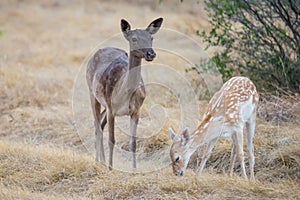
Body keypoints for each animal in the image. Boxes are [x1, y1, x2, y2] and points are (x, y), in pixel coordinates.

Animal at [85, 18, 163, 170]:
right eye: (134, 38)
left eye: (151, 38)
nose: (151, 54)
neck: (125, 94)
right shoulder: (111, 109)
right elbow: (112, 140)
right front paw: (110, 168)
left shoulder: (136, 111)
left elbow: (133, 143)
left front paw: (134, 169)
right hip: (92, 93)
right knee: (97, 125)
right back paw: (98, 162)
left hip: (105, 104)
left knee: (100, 124)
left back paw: (102, 161)